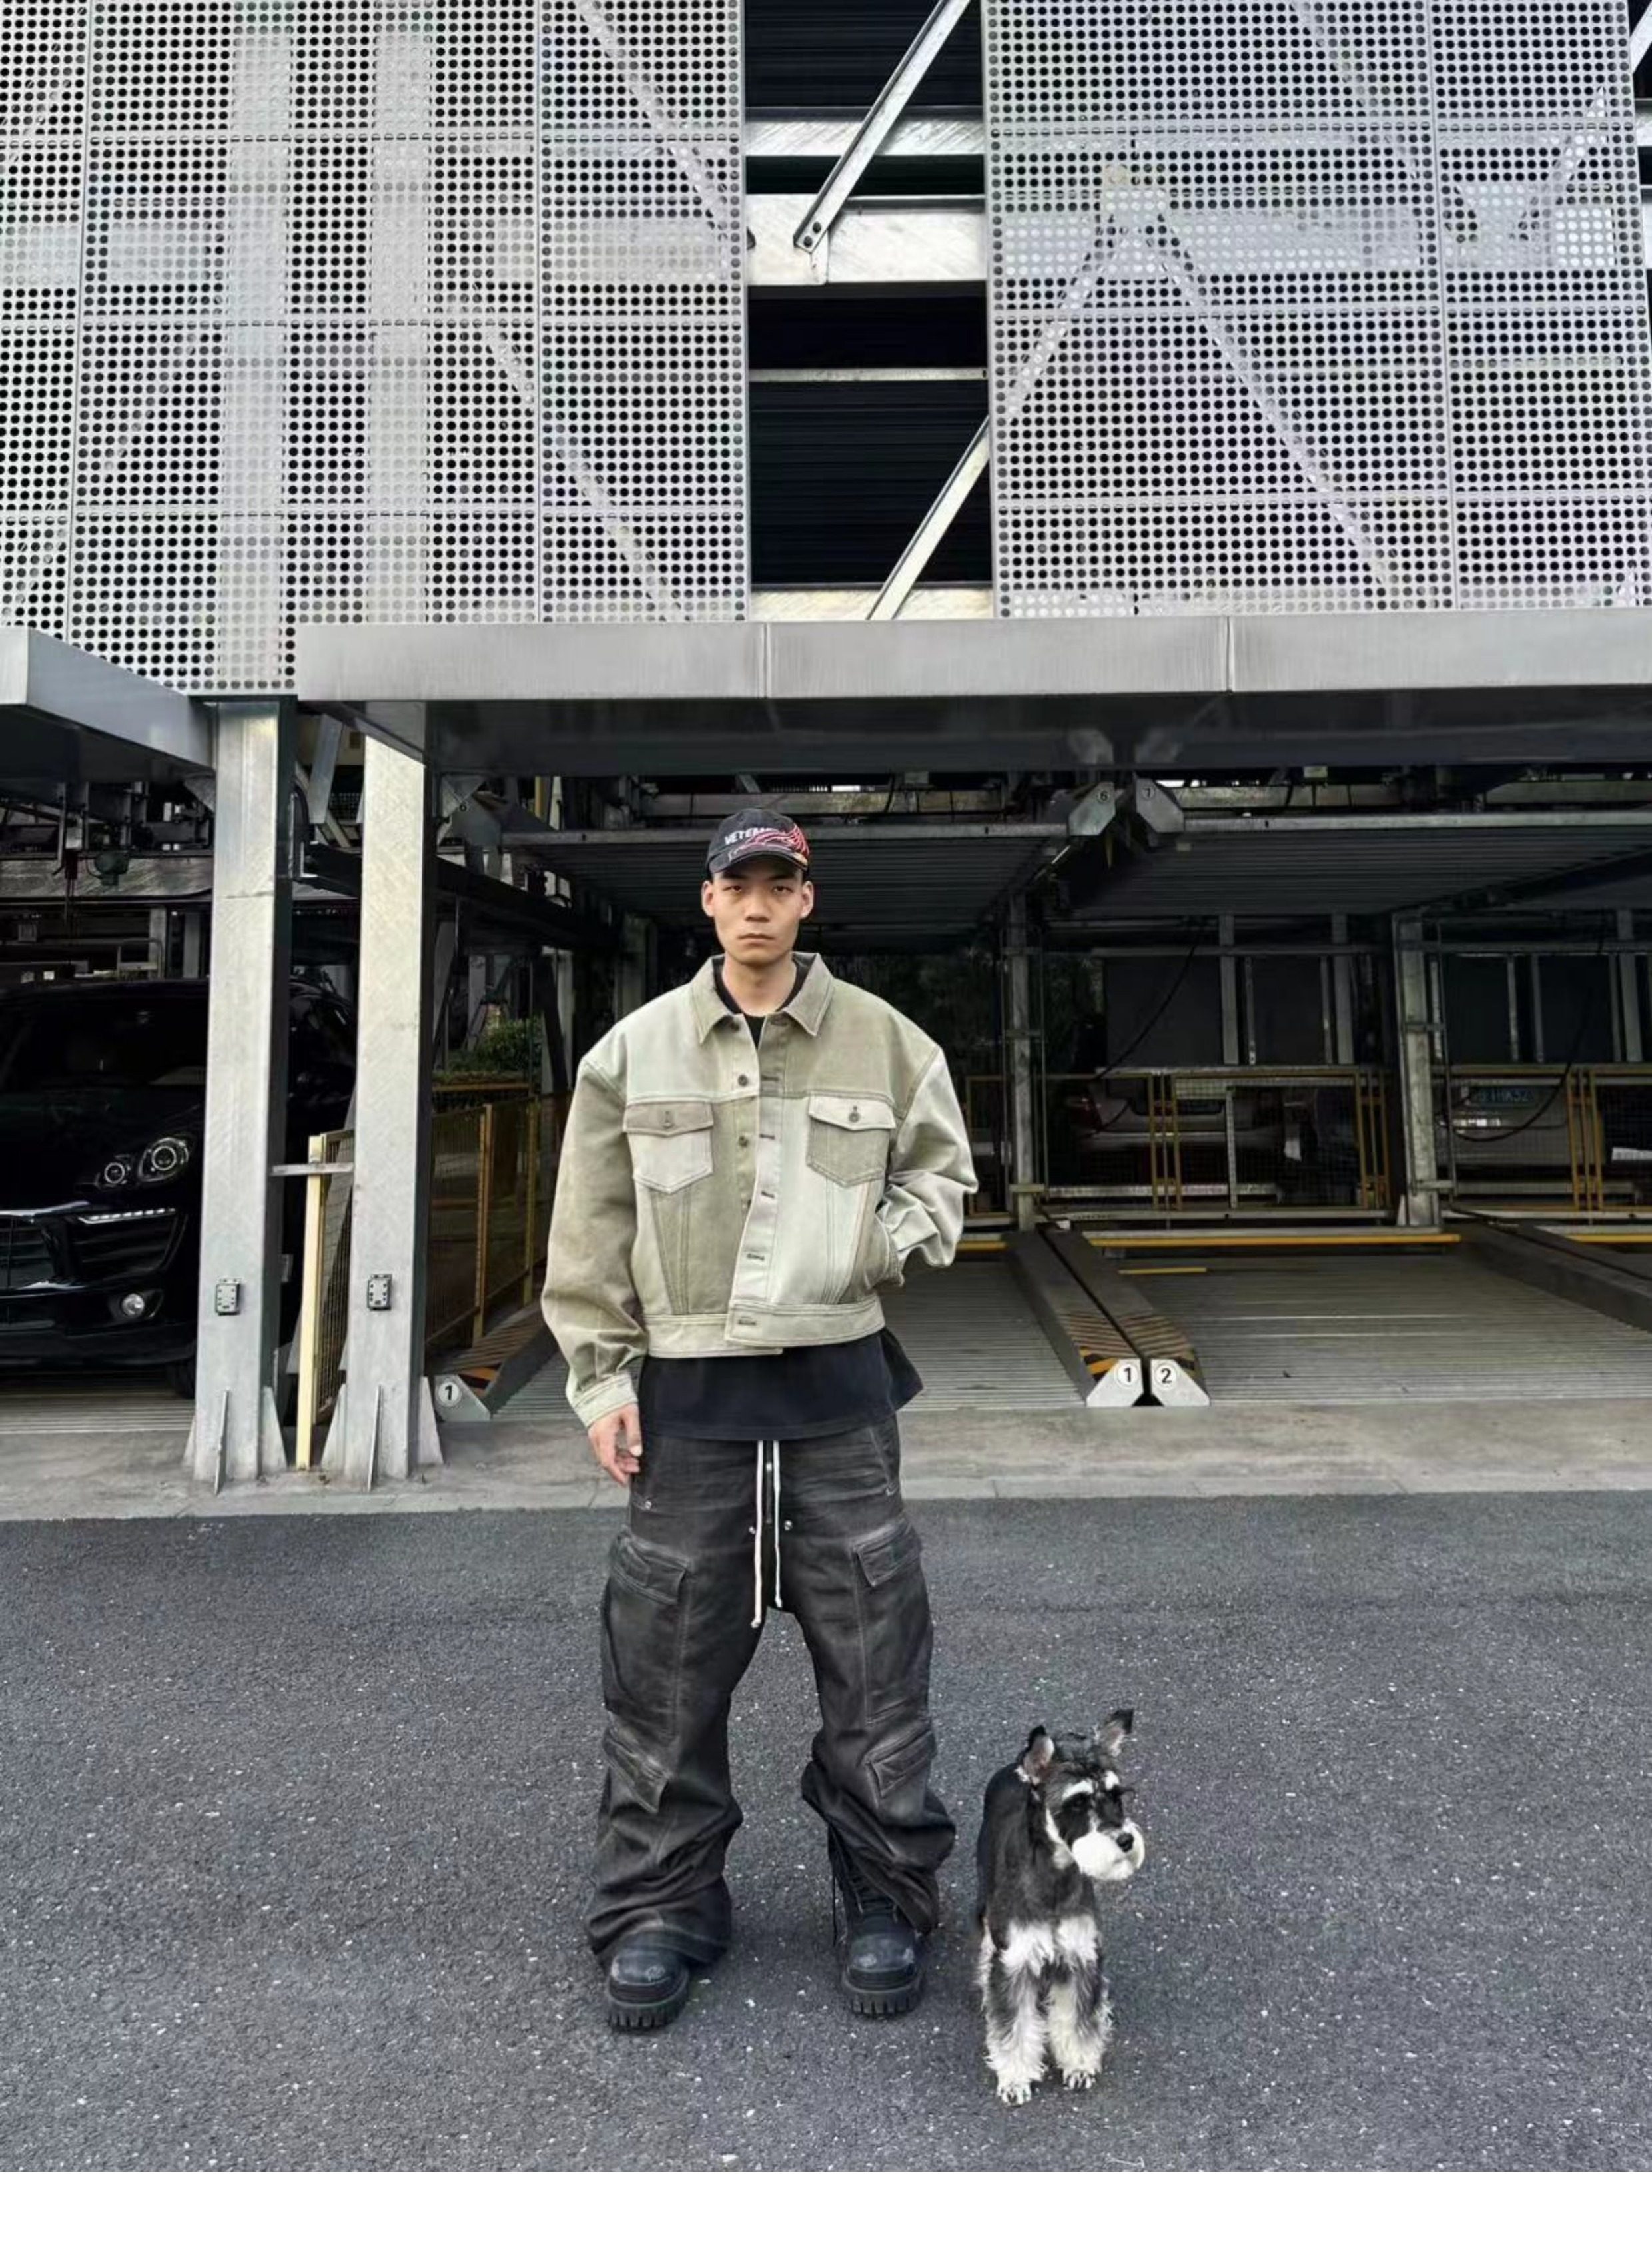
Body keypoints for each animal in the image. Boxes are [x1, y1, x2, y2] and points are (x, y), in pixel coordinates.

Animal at [974, 1710, 1144, 2104]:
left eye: (1117, 1796)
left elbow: (1079, 2019)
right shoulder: (1016, 1962)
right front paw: (1015, 2078)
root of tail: (1015, 1769)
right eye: (1077, 1803)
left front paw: (1080, 2065)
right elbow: (1014, 2025)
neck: (1055, 1876)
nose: (1125, 1840)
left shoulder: (1081, 1957)